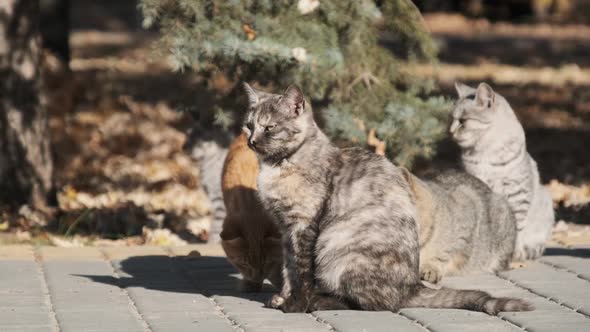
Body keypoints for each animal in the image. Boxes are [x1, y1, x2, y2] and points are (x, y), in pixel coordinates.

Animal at [243, 82, 536, 314]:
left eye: (269, 128)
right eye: (249, 126)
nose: (251, 142)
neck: (281, 165)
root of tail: (412, 286)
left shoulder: (304, 226)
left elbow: (302, 272)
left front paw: (296, 304)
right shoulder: (285, 229)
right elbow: (289, 268)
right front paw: (284, 297)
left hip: (336, 248)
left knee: (372, 303)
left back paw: (319, 301)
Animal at [450, 81, 556, 260]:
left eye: (463, 121)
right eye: (452, 119)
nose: (450, 131)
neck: (486, 151)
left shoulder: (517, 192)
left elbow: (517, 227)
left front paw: (514, 252)